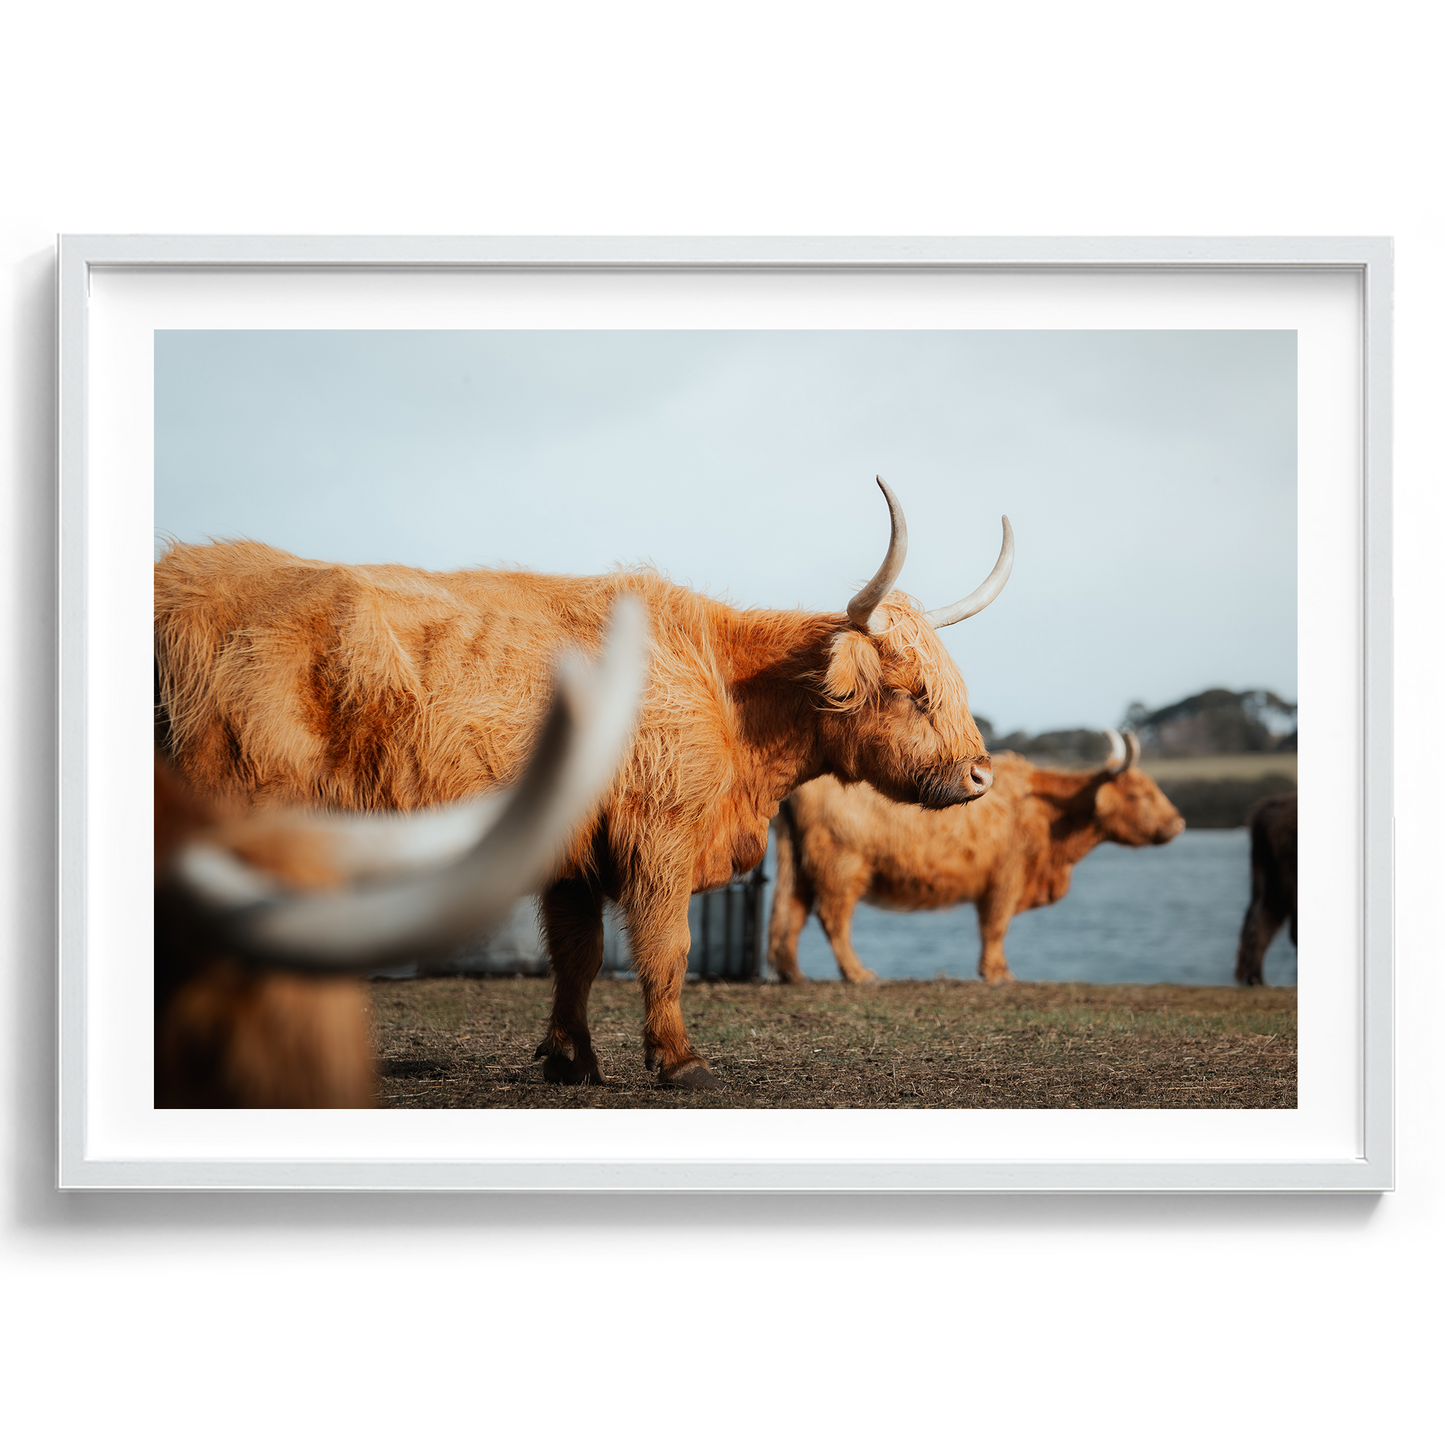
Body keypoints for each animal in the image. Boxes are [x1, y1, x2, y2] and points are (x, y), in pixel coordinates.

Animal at [768, 730, 1184, 985]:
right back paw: (858, 973)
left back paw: (793, 973)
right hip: (842, 864)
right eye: (1140, 795)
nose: (1179, 823)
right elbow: (995, 926)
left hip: (803, 865)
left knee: (793, 912)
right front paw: (997, 973)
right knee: (833, 917)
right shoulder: (1006, 878)